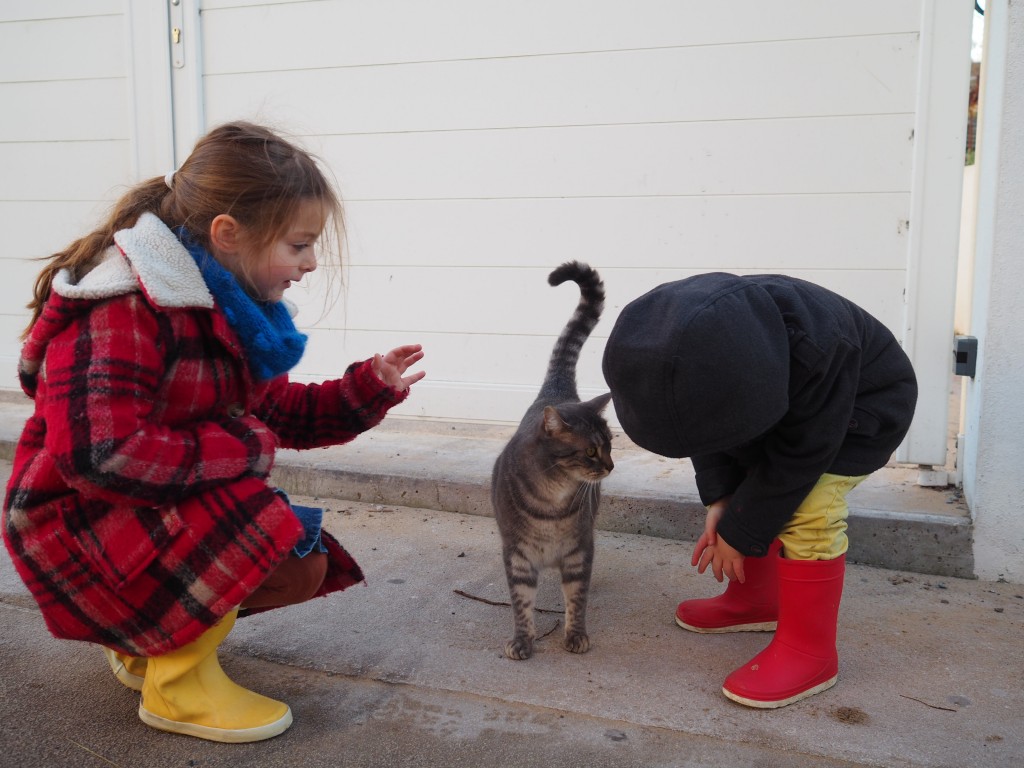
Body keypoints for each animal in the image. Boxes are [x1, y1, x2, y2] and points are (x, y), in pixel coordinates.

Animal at [491, 262, 610, 659]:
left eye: (610, 445)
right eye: (591, 450)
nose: (610, 466)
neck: (553, 500)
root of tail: (555, 391)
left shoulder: (578, 552)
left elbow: (576, 597)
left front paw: (575, 634)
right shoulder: (518, 555)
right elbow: (521, 602)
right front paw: (523, 640)